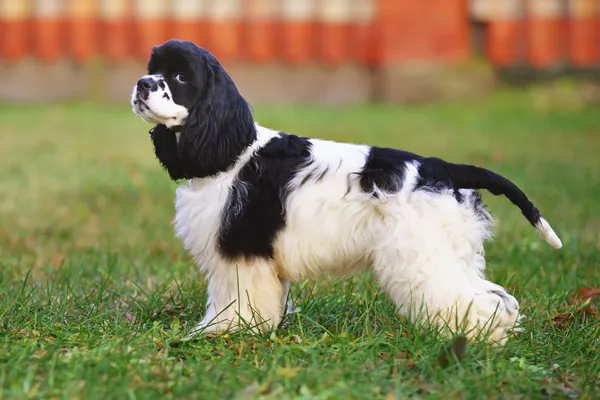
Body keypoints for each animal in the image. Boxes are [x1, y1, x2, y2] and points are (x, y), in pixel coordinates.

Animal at [131, 39, 564, 344]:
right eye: (153, 69)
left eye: (180, 77)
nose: (141, 83)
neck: (232, 150)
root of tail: (443, 168)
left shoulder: (241, 252)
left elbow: (235, 300)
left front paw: (225, 332)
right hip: (450, 254)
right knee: (498, 298)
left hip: (422, 257)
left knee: (477, 301)